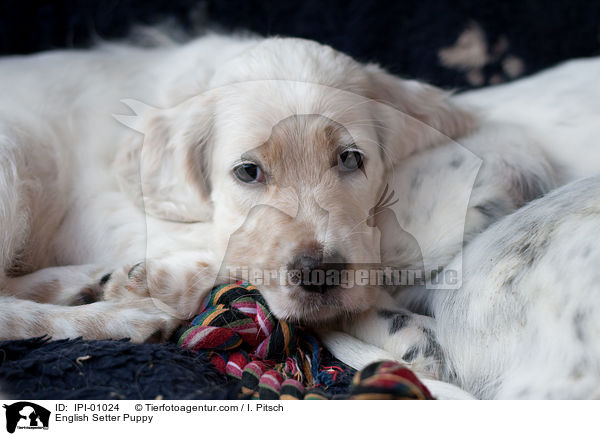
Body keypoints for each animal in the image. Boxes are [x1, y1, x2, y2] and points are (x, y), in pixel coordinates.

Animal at [1, 31, 600, 398]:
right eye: (248, 172)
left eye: (351, 159)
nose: (321, 275)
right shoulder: (100, 207)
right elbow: (225, 239)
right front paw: (155, 281)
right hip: (17, 154)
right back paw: (116, 315)